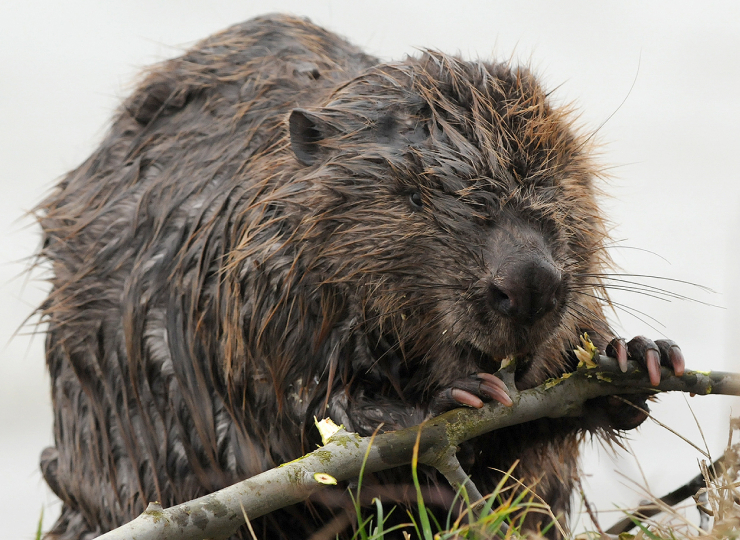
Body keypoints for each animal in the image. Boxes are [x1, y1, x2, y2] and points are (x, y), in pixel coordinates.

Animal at [39, 12, 688, 540]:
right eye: (412, 197)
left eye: (554, 178)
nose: (530, 284)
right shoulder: (240, 301)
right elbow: (287, 419)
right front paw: (454, 397)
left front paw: (636, 355)